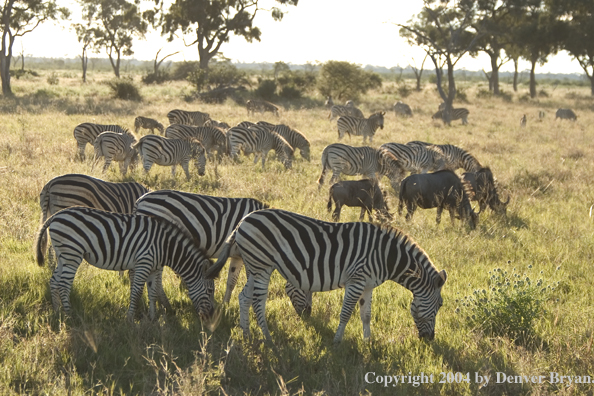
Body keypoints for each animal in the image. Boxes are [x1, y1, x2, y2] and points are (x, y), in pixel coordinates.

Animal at [35, 207, 215, 322]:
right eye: (211, 290)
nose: (210, 316)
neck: (165, 246)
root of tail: (56, 215)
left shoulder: (154, 268)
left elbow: (152, 292)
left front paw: (153, 318)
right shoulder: (143, 263)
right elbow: (136, 291)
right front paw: (129, 319)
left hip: (62, 255)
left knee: (54, 281)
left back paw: (57, 312)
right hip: (72, 254)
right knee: (64, 284)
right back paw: (70, 315)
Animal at [133, 190, 270, 304]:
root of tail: (140, 200)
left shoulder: (238, 256)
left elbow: (231, 282)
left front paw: (225, 306)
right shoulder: (249, 255)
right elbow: (250, 281)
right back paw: (164, 303)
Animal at [204, 209, 444, 342]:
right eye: (440, 305)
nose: (430, 340)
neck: (386, 256)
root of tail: (242, 222)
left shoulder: (367, 285)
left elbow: (366, 315)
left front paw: (368, 343)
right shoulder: (356, 280)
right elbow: (346, 314)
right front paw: (337, 342)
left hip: (254, 266)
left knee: (244, 297)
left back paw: (246, 334)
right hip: (261, 265)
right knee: (257, 300)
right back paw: (268, 338)